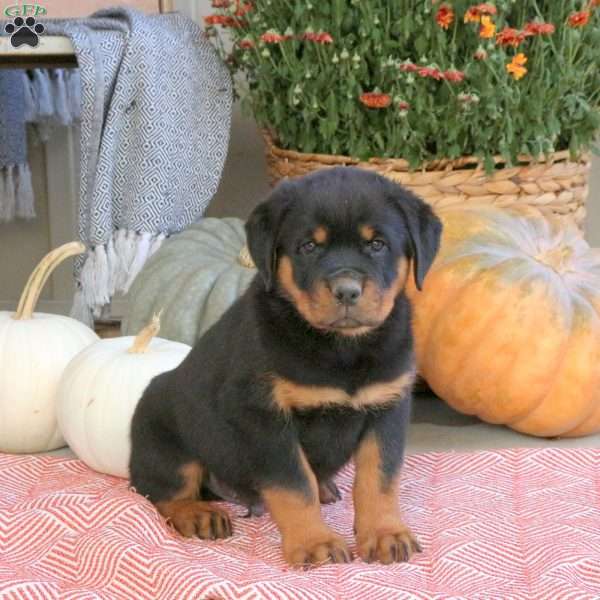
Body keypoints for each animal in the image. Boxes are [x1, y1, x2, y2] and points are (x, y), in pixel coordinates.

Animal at [130, 165, 440, 568]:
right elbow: (294, 483)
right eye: (309, 246)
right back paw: (198, 514)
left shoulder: (387, 406)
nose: (347, 290)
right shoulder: (263, 414)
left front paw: (385, 533)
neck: (341, 348)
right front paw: (314, 542)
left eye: (377, 244)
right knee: (162, 490)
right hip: (162, 432)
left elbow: (379, 478)